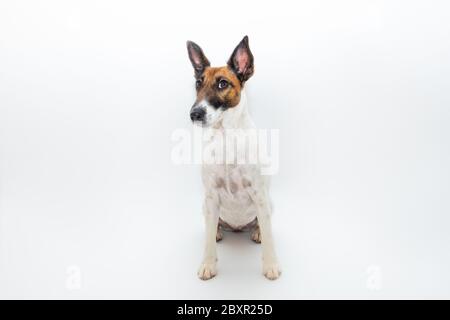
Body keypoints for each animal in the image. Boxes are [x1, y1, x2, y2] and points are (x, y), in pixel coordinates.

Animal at [185, 35, 280, 280]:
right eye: (198, 83)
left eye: (222, 84)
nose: (194, 114)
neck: (227, 137)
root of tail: (237, 228)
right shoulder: (211, 197)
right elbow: (208, 242)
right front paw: (208, 263)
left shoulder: (259, 195)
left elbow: (270, 237)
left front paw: (271, 264)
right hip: (206, 206)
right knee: (213, 226)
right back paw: (218, 231)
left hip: (269, 203)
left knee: (262, 225)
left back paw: (256, 232)